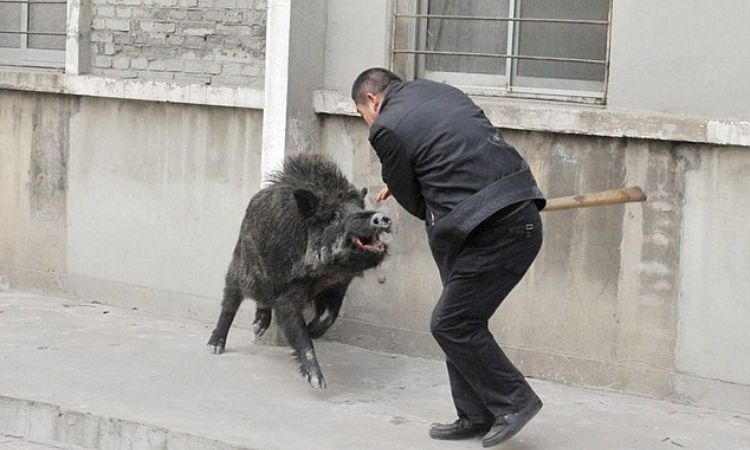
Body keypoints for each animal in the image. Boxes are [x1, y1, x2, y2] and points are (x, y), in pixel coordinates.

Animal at [207, 153, 392, 389]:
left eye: (360, 208)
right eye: (335, 216)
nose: (380, 218)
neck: (326, 273)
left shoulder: (339, 285)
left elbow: (329, 315)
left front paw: (313, 331)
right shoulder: (289, 290)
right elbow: (295, 326)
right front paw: (318, 382)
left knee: (262, 301)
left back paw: (258, 328)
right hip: (240, 266)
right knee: (230, 301)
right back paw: (215, 347)